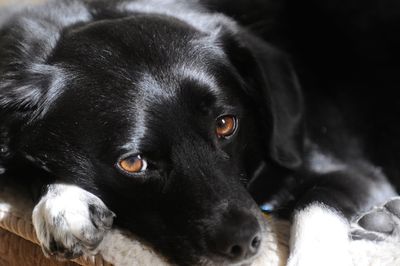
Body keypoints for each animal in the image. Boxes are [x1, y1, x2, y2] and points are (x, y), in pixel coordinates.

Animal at [0, 0, 400, 264]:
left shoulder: (357, 174)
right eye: (132, 162)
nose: (246, 244)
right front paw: (64, 204)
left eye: (225, 124)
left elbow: (314, 202)